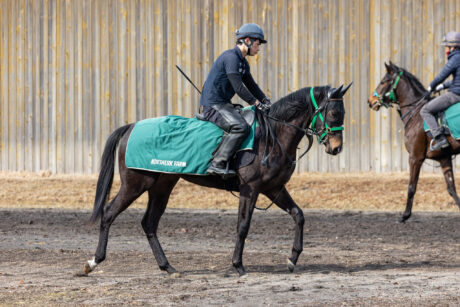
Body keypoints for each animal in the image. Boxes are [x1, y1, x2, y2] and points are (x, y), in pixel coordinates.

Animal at [82, 83, 348, 276]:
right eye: (334, 112)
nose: (336, 148)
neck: (272, 134)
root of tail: (131, 126)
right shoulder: (250, 189)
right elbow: (243, 226)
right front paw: (238, 265)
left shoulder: (274, 188)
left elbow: (298, 215)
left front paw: (292, 259)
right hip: (136, 184)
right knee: (109, 213)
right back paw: (93, 262)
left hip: (162, 186)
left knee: (149, 223)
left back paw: (167, 267)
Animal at [368, 61, 460, 223]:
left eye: (383, 81)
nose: (370, 101)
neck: (416, 113)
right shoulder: (444, 158)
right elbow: (451, 189)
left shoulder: (415, 158)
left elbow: (411, 187)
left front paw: (405, 215)